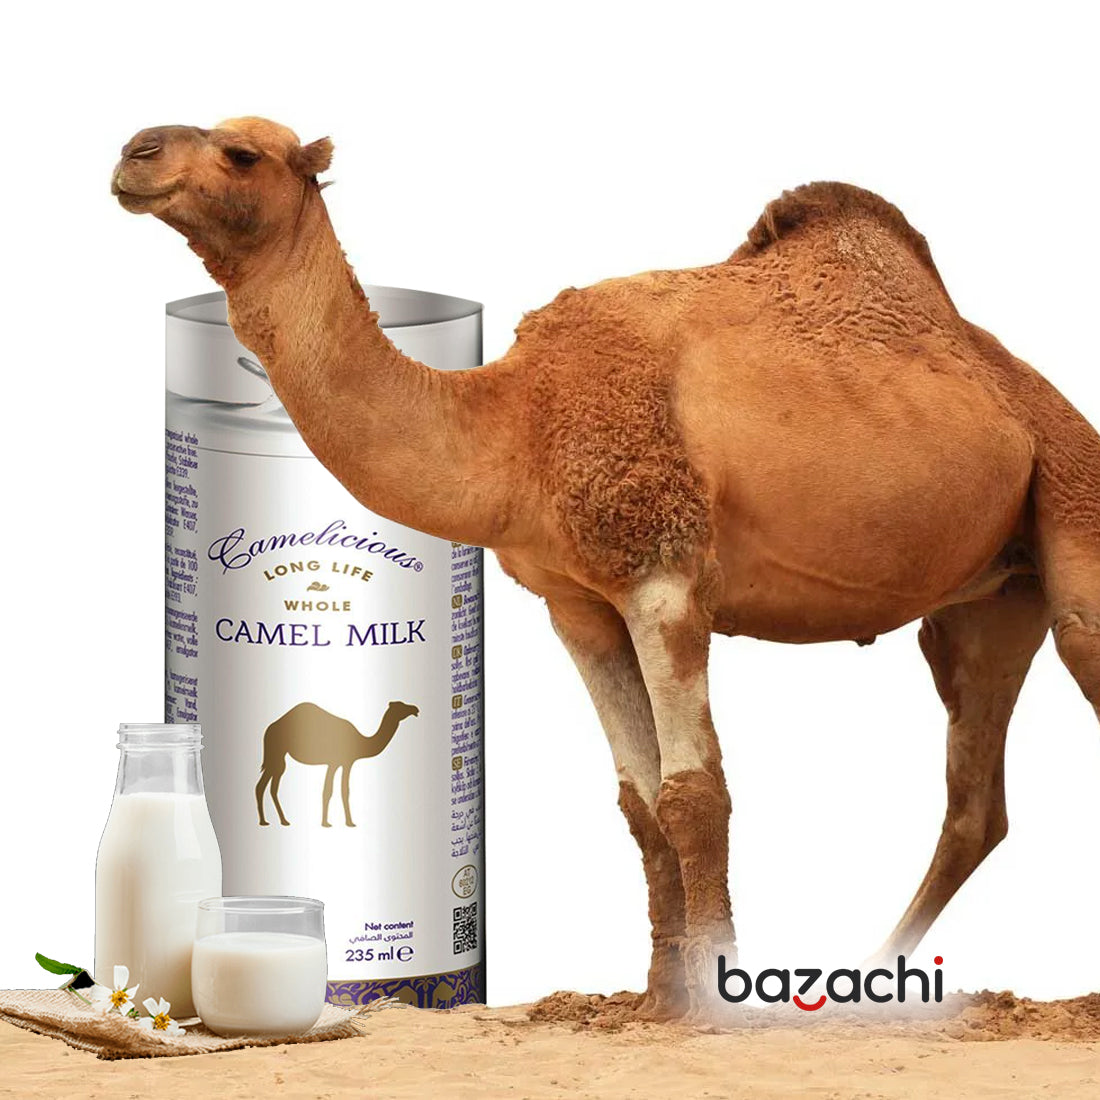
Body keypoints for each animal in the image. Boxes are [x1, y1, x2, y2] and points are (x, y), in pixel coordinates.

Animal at [256, 700, 419, 828]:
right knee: (266, 784)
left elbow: (337, 790)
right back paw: (268, 821)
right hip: (276, 753)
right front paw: (334, 823)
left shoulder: (340, 763)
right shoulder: (340, 762)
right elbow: (335, 790)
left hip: (278, 756)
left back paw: (279, 821)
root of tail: (269, 728)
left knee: (269, 786)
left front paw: (340, 822)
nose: (415, 709)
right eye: (401, 706)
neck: (360, 741)